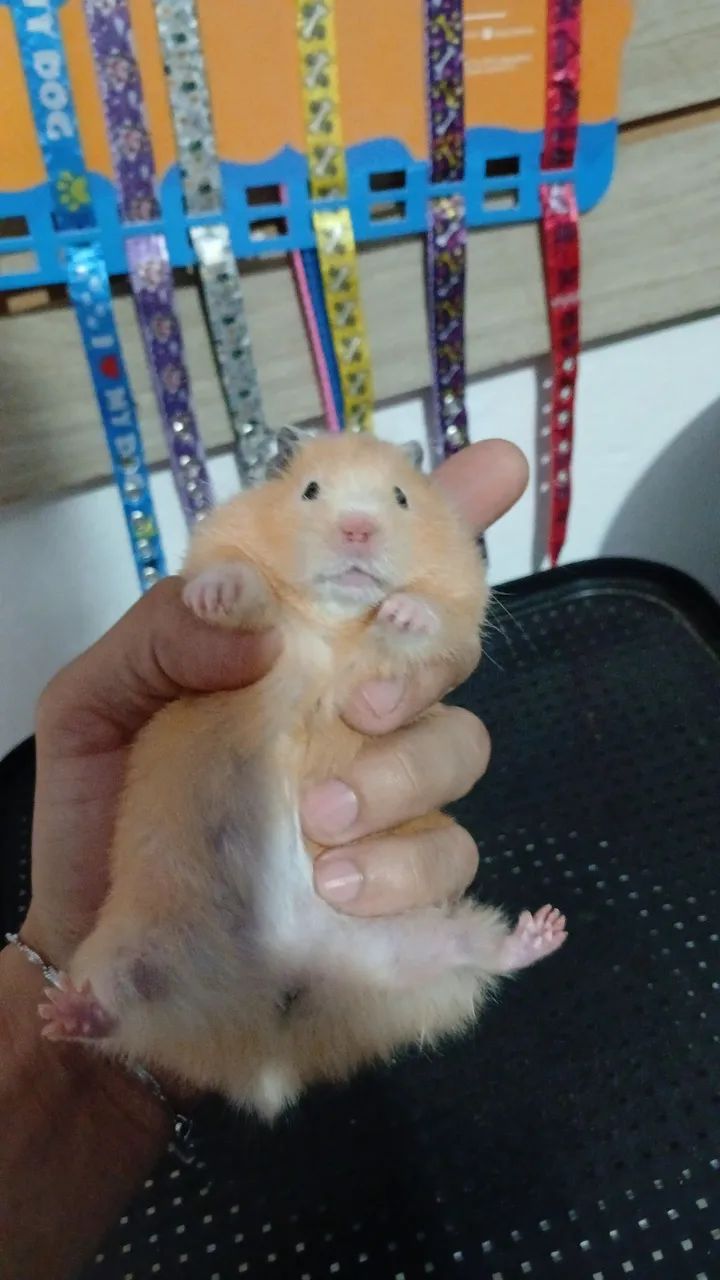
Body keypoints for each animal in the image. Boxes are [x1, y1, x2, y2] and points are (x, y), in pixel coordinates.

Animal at [39, 432, 567, 1119]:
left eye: (401, 498)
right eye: (310, 491)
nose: (358, 529)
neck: (331, 617)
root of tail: (272, 1053)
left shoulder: (454, 602)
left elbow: (432, 619)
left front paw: (402, 612)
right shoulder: (228, 560)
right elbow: (236, 579)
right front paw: (212, 596)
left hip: (419, 944)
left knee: (474, 956)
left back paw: (543, 929)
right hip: (132, 953)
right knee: (121, 1016)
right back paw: (64, 1012)